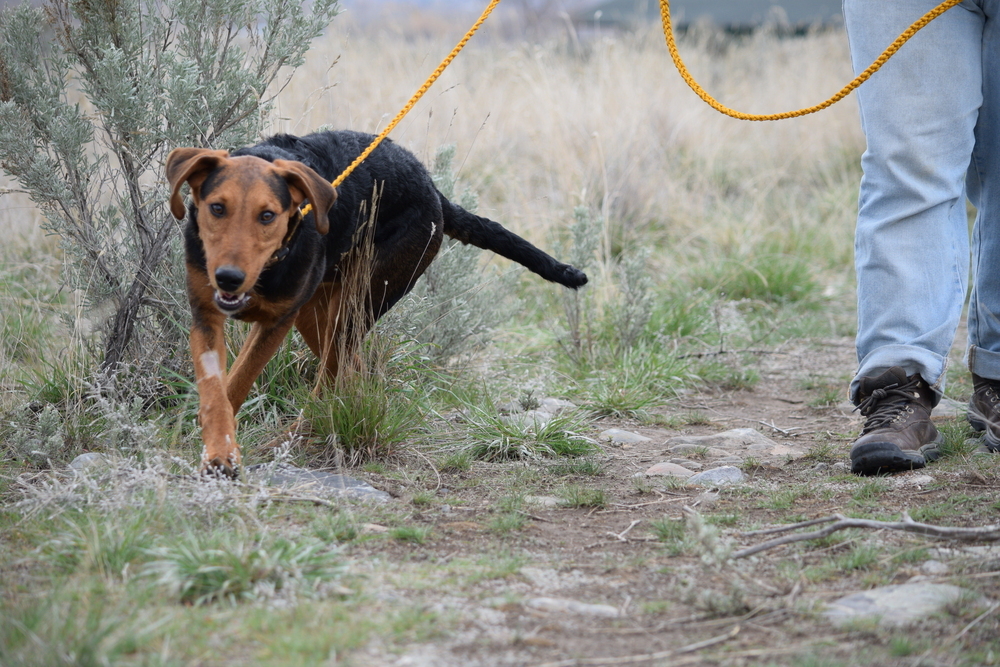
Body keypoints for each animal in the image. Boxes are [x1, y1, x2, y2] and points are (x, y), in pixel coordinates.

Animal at [165, 129, 584, 474]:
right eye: (217, 208)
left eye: (267, 216)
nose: (229, 278)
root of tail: (435, 193)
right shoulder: (206, 316)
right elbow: (219, 390)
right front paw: (216, 448)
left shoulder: (275, 322)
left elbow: (237, 383)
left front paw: (223, 453)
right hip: (320, 312)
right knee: (351, 372)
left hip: (358, 302)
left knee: (331, 381)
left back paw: (293, 439)